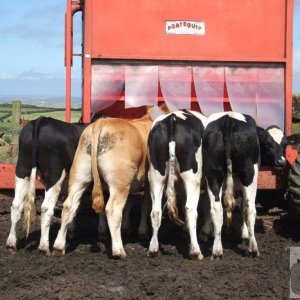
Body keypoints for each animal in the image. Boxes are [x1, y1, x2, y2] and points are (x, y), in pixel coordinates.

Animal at [5, 116, 92, 254]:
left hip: (23, 168)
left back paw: (11, 244)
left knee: (16, 205)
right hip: (54, 176)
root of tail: (41, 120)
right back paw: (44, 247)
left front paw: (70, 232)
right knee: (46, 209)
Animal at [52, 104, 169, 256]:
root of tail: (101, 122)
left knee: (69, 205)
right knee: (113, 209)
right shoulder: (148, 183)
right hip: (119, 183)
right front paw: (142, 232)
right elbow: (144, 206)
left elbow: (129, 204)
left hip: (80, 175)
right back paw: (119, 250)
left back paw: (59, 245)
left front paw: (125, 227)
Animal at [146, 110, 207, 260]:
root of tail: (172, 119)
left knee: (156, 211)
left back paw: (153, 248)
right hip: (192, 178)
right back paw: (196, 251)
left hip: (156, 175)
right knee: (190, 209)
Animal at [200, 112, 288, 260]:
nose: (281, 162)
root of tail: (228, 119)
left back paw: (217, 250)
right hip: (250, 175)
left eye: (284, 144)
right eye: (268, 144)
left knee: (217, 208)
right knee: (250, 208)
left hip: (213, 174)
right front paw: (245, 233)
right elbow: (243, 207)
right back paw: (253, 248)